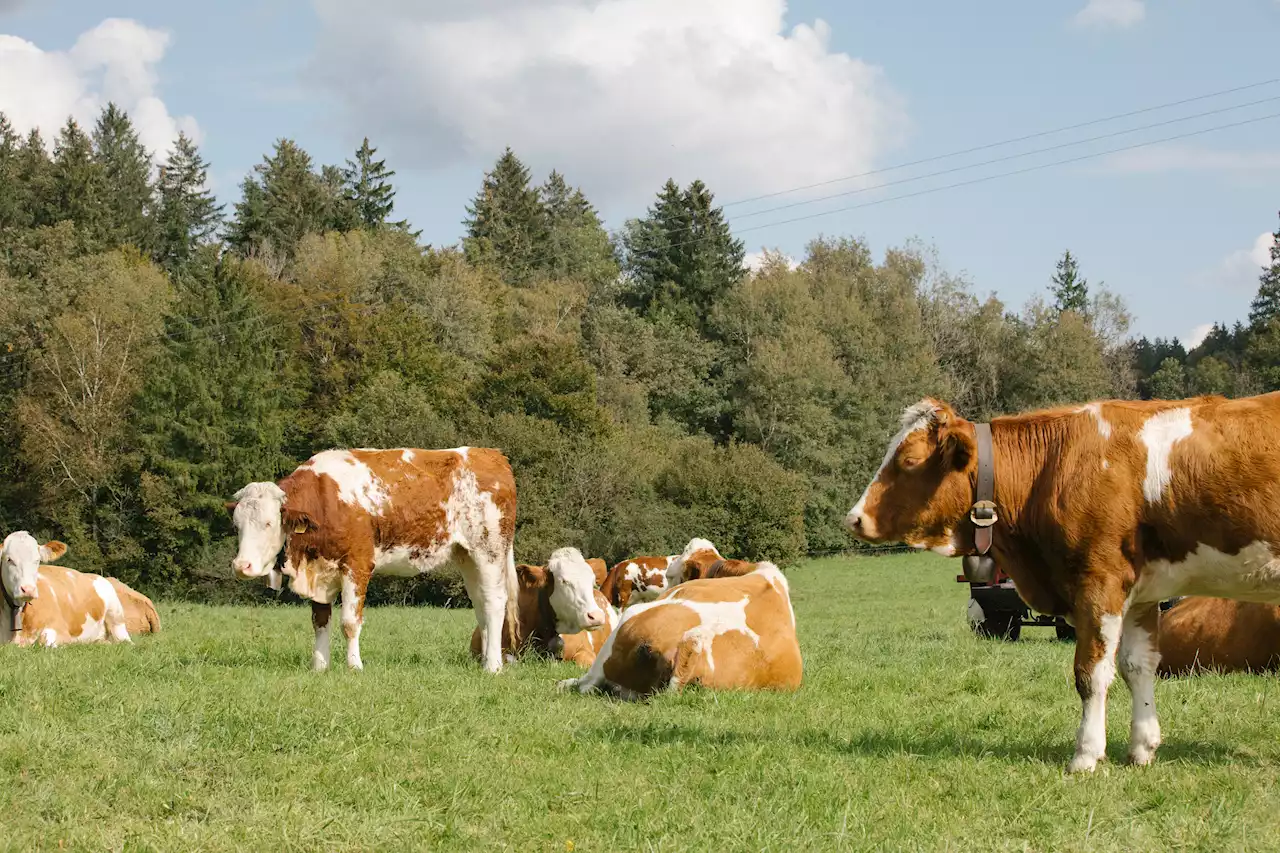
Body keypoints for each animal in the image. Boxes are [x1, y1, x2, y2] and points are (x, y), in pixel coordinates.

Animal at [2, 532, 158, 645]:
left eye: (37, 560)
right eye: (9, 559)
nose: (28, 589)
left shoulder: (61, 630)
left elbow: (44, 641)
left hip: (117, 618)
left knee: (125, 641)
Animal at [844, 394, 1280, 773]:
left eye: (909, 460)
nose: (854, 518)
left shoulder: (1099, 583)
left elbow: (1091, 675)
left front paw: (1086, 755)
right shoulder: (1141, 592)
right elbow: (1137, 666)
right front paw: (1142, 748)